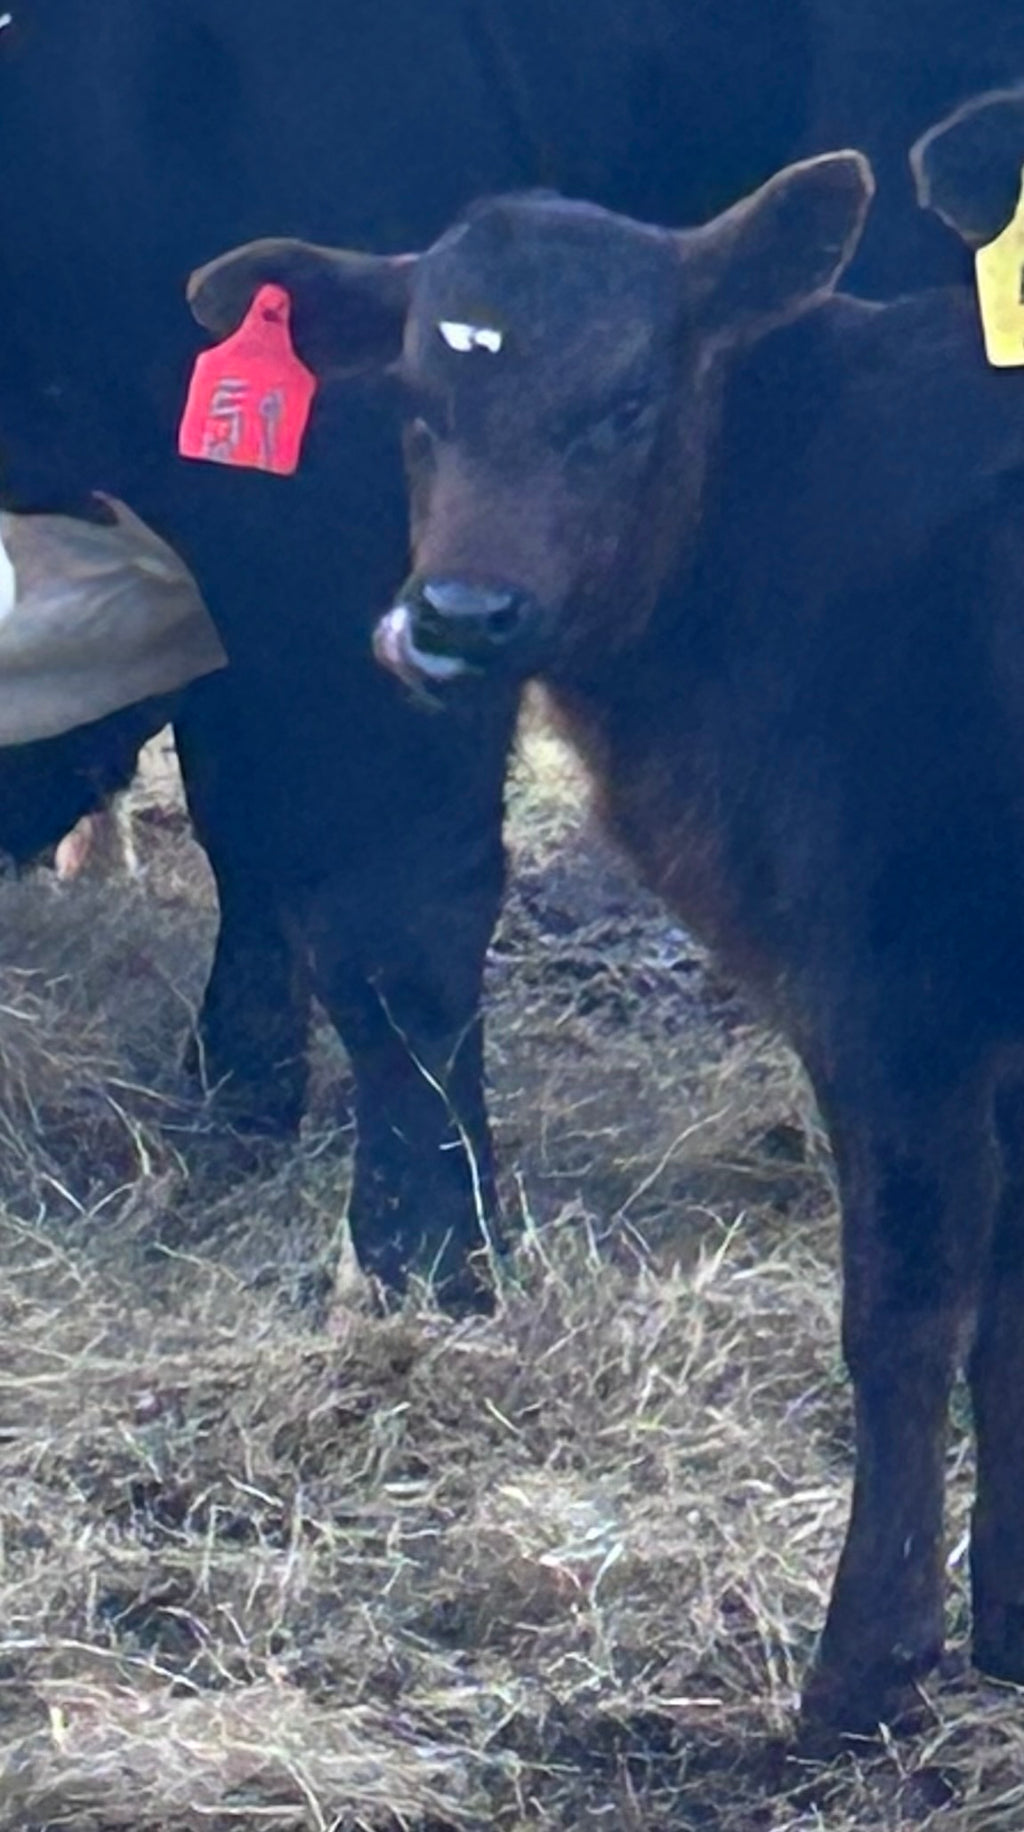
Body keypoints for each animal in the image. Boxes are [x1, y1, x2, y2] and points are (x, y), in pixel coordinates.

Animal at [184, 129, 1024, 1737]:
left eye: (628, 402)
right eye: (417, 404)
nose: (460, 612)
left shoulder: (897, 999)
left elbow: (900, 1313)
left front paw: (863, 1674)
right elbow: (1007, 1303)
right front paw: (1008, 1625)